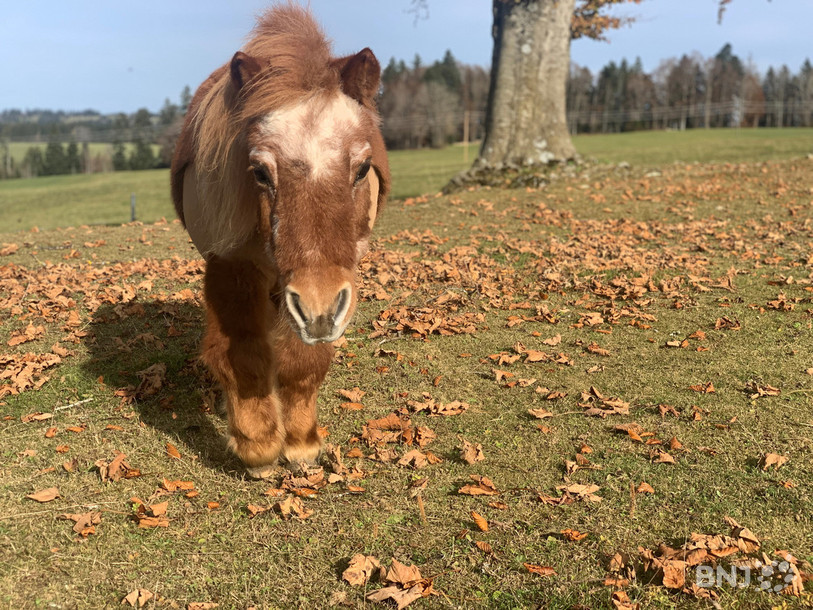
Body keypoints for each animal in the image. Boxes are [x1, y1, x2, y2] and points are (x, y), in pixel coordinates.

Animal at [170, 5, 390, 478]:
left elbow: (303, 359)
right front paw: (259, 447)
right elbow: (242, 352)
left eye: (363, 168)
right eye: (259, 172)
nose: (320, 309)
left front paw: (301, 443)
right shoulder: (230, 266)